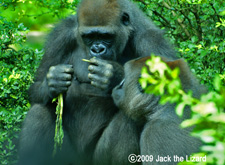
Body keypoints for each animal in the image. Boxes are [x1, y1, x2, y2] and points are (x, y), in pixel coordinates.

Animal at [17, 0, 178, 164]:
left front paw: (113, 74)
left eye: (105, 36)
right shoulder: (61, 35)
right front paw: (53, 81)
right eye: (89, 36)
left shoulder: (151, 40)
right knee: (38, 112)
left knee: (129, 118)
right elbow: (36, 86)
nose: (97, 50)